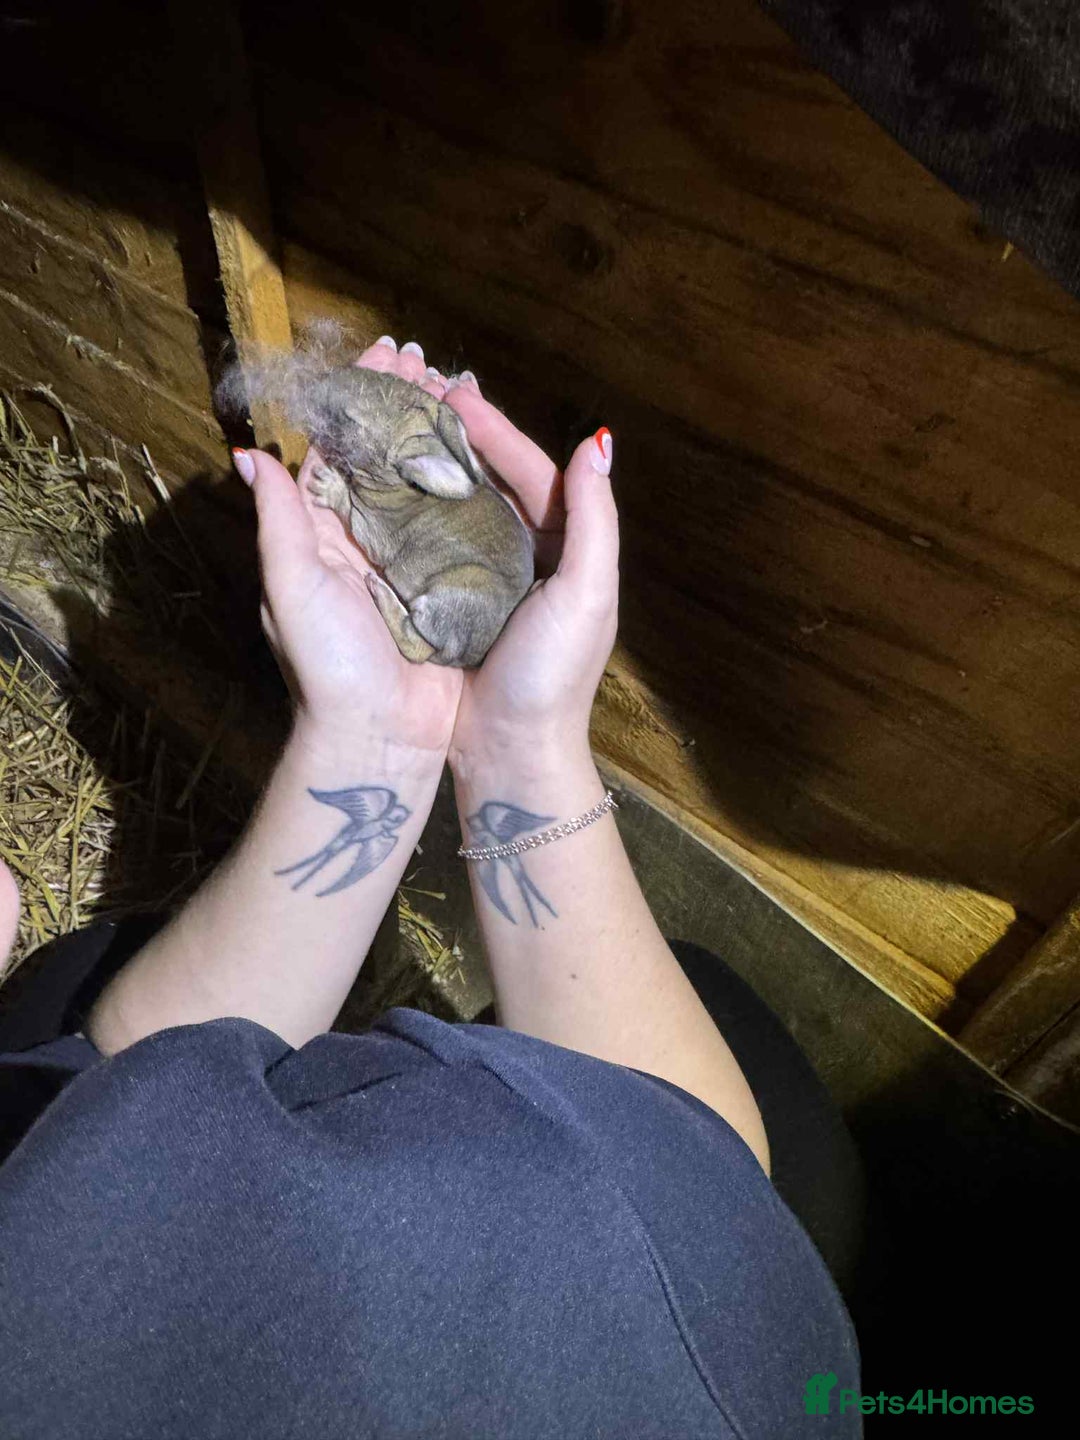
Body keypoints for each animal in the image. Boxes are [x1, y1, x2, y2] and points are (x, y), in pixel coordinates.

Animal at [218, 332, 535, 667]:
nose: (323, 380)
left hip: (449, 594)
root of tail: (472, 655)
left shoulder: (368, 524)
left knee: (416, 646)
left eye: (350, 421)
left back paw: (378, 588)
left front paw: (326, 484)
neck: (399, 482)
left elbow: (349, 507)